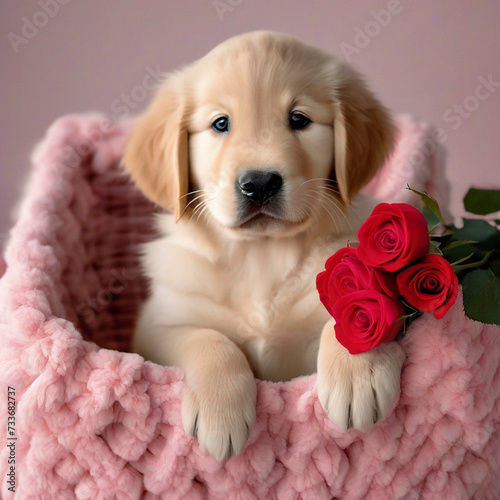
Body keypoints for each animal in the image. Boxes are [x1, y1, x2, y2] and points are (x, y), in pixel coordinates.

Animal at [122, 30, 406, 460]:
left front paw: (359, 376)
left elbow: (353, 309)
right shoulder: (159, 326)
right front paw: (220, 412)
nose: (258, 183)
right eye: (220, 123)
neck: (260, 254)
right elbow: (209, 338)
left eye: (299, 120)